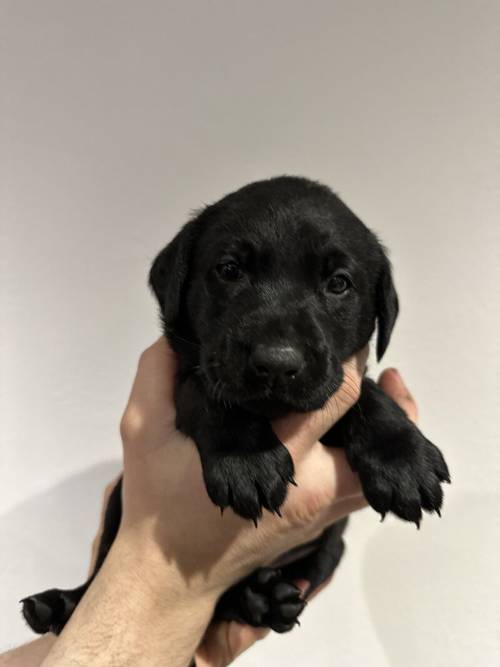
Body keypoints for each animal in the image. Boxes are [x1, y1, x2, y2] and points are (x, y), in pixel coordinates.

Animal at [21, 176, 450, 636]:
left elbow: (364, 393)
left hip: (329, 550)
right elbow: (207, 394)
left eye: (339, 283)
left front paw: (403, 460)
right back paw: (58, 605)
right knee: (100, 574)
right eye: (229, 271)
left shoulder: (340, 380)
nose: (277, 363)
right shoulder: (187, 375)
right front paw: (248, 461)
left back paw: (263, 599)